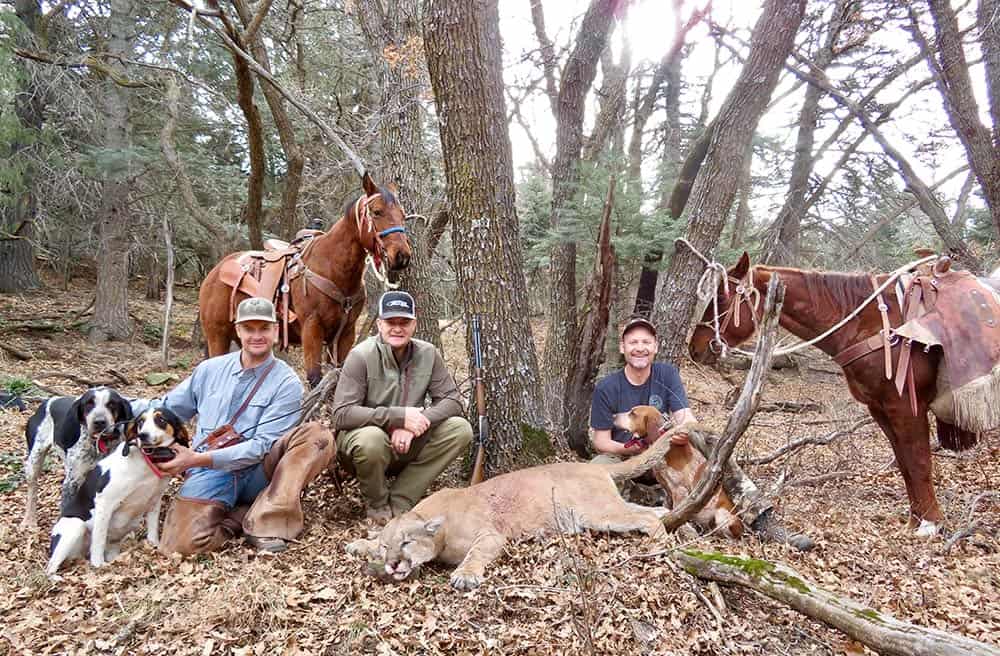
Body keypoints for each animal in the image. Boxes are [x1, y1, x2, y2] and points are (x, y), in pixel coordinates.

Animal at [21, 386, 133, 532]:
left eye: (112, 404)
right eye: (89, 404)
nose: (99, 422)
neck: (99, 443)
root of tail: (47, 401)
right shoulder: (73, 482)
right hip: (34, 460)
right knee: (32, 490)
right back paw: (29, 520)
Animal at [45, 404, 187, 576]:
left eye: (161, 420)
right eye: (140, 422)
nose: (142, 435)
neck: (147, 462)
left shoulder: (155, 500)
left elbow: (152, 531)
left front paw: (154, 545)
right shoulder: (105, 504)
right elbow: (98, 540)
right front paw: (98, 565)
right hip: (75, 527)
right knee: (50, 567)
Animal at [199, 174, 410, 390]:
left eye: (403, 215)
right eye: (377, 212)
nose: (402, 256)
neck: (333, 269)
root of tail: (216, 271)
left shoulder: (346, 333)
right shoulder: (311, 329)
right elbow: (315, 379)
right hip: (217, 336)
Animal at [344, 422, 696, 592]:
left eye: (406, 542)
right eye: (387, 546)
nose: (392, 564)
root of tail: (593, 468)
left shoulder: (490, 536)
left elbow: (475, 554)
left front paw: (465, 575)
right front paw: (360, 543)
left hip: (598, 513)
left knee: (646, 517)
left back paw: (659, 542)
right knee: (652, 511)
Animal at [692, 252, 980, 540]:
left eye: (721, 299)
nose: (694, 347)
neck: (871, 323)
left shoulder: (906, 406)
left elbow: (919, 461)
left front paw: (930, 524)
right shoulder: (880, 407)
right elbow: (904, 462)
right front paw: (915, 521)